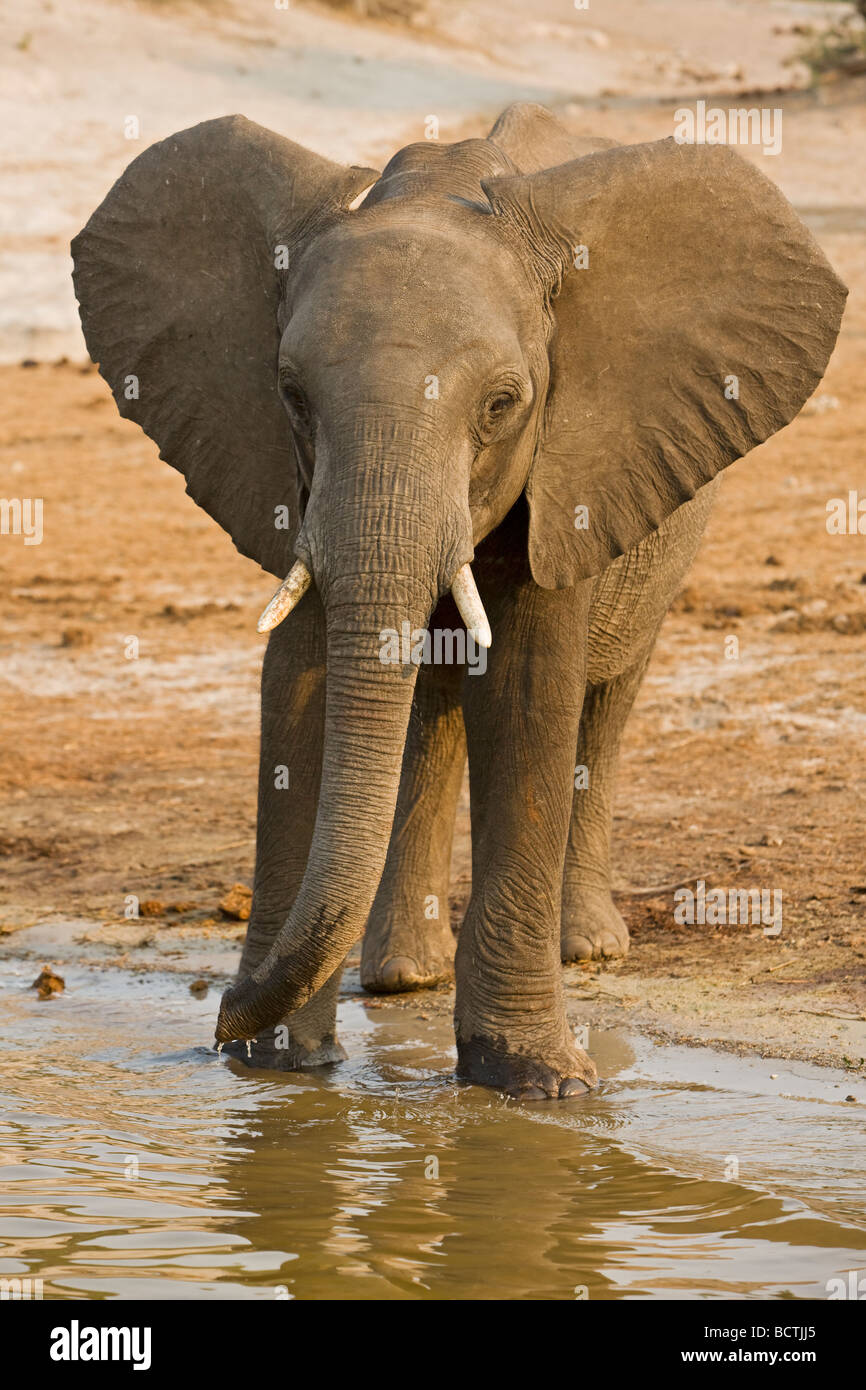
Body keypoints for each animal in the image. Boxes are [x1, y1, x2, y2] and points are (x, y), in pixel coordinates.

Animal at [74, 100, 845, 1095]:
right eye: (289, 394)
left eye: (502, 404)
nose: (219, 1019)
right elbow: (299, 684)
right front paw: (278, 1070)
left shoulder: (570, 462)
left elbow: (527, 688)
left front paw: (541, 1086)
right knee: (430, 706)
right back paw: (402, 976)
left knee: (606, 700)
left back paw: (586, 951)